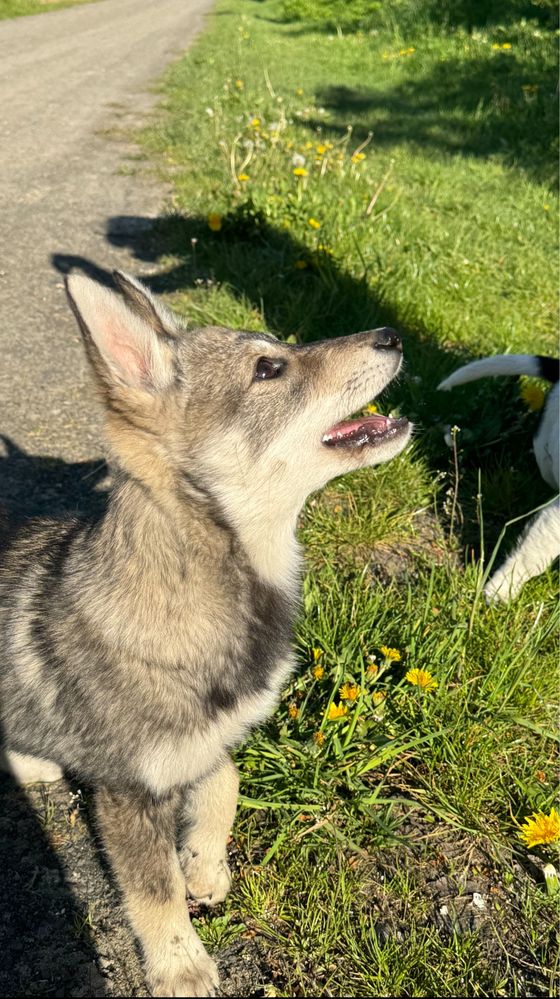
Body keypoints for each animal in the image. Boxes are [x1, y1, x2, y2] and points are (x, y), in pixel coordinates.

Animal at [0, 270, 412, 996]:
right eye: (269, 368)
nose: (392, 333)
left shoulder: (211, 736)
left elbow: (226, 783)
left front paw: (205, 861)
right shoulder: (128, 794)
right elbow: (153, 888)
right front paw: (179, 962)